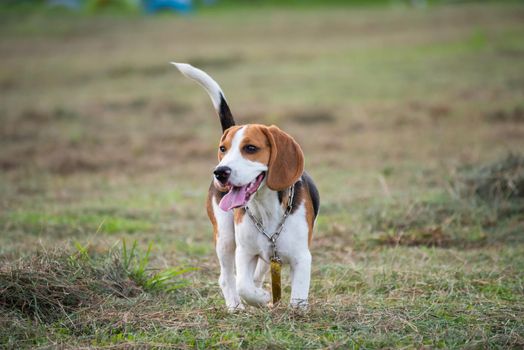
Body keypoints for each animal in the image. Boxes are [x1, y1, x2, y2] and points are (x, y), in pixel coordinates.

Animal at [173, 62, 320, 308]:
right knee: (227, 277)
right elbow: (243, 285)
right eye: (223, 149)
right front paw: (261, 298)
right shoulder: (245, 253)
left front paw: (292, 309)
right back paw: (235, 306)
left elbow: (298, 296)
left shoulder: (301, 257)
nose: (220, 172)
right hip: (224, 238)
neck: (266, 209)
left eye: (250, 148)